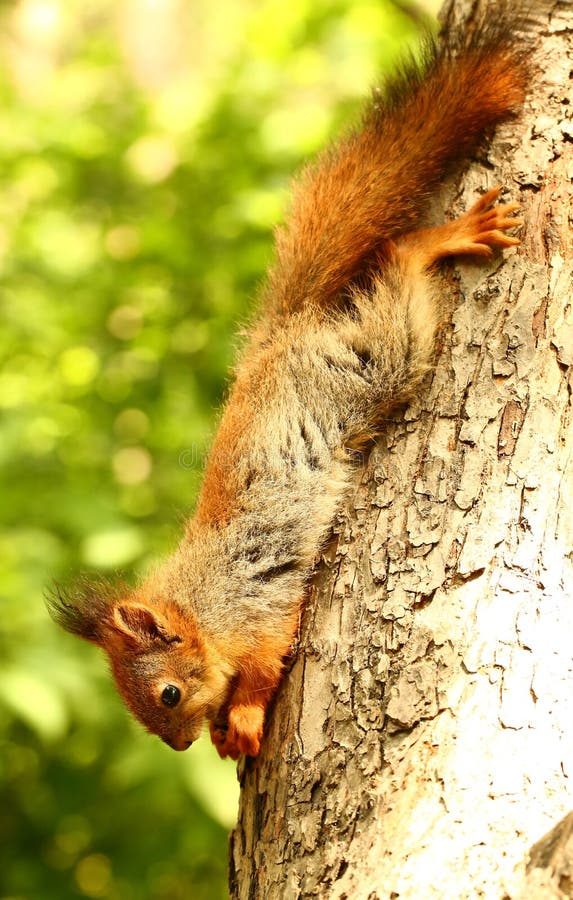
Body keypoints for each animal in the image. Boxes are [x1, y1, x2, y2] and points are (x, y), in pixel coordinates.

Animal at [48, 9, 530, 760]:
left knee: (398, 264)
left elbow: (264, 665)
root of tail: (277, 341)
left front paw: (242, 720)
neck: (203, 608)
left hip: (373, 363)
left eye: (168, 694)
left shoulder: (261, 611)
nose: (179, 749)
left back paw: (437, 240)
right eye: (145, 714)